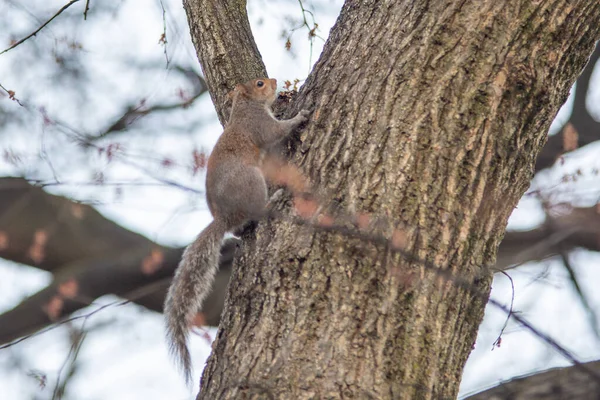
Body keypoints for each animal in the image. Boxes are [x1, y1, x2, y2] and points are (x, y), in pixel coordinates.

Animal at [163, 77, 310, 384]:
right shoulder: (258, 124)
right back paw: (274, 199)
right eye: (260, 83)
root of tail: (224, 217)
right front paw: (300, 116)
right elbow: (276, 131)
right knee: (259, 210)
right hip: (252, 181)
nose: (275, 81)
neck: (244, 106)